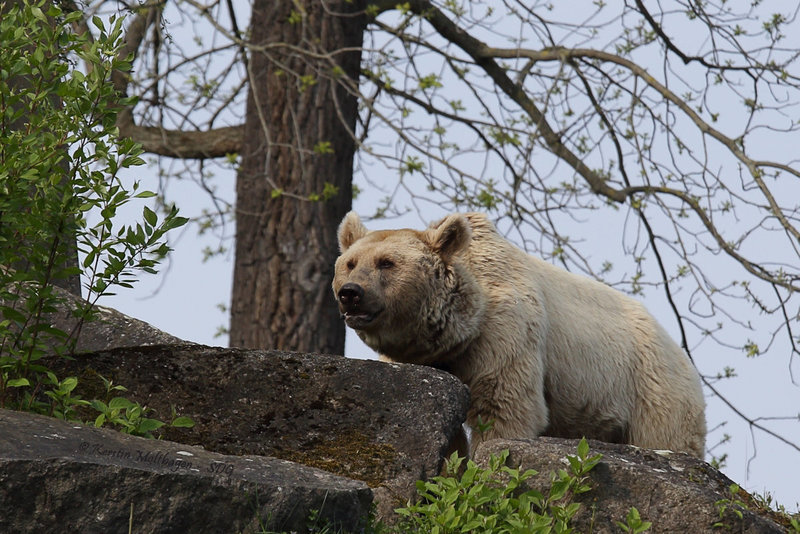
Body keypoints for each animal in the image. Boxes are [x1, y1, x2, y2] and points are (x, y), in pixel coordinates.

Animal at [332, 211, 708, 458]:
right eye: (350, 263)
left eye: (386, 263)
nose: (351, 293)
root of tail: (679, 350)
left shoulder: (502, 333)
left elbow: (504, 408)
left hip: (649, 387)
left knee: (665, 437)